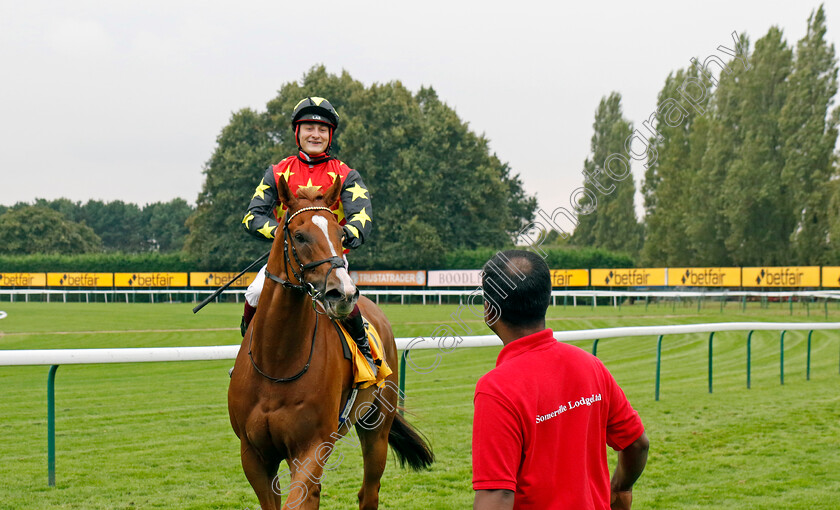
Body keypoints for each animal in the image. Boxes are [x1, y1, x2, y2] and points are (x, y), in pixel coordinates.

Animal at [228, 176, 434, 510]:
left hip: (377, 426)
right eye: (299, 236)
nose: (344, 293)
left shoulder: (312, 446)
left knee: (368, 492)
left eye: (341, 234)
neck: (277, 364)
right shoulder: (254, 455)